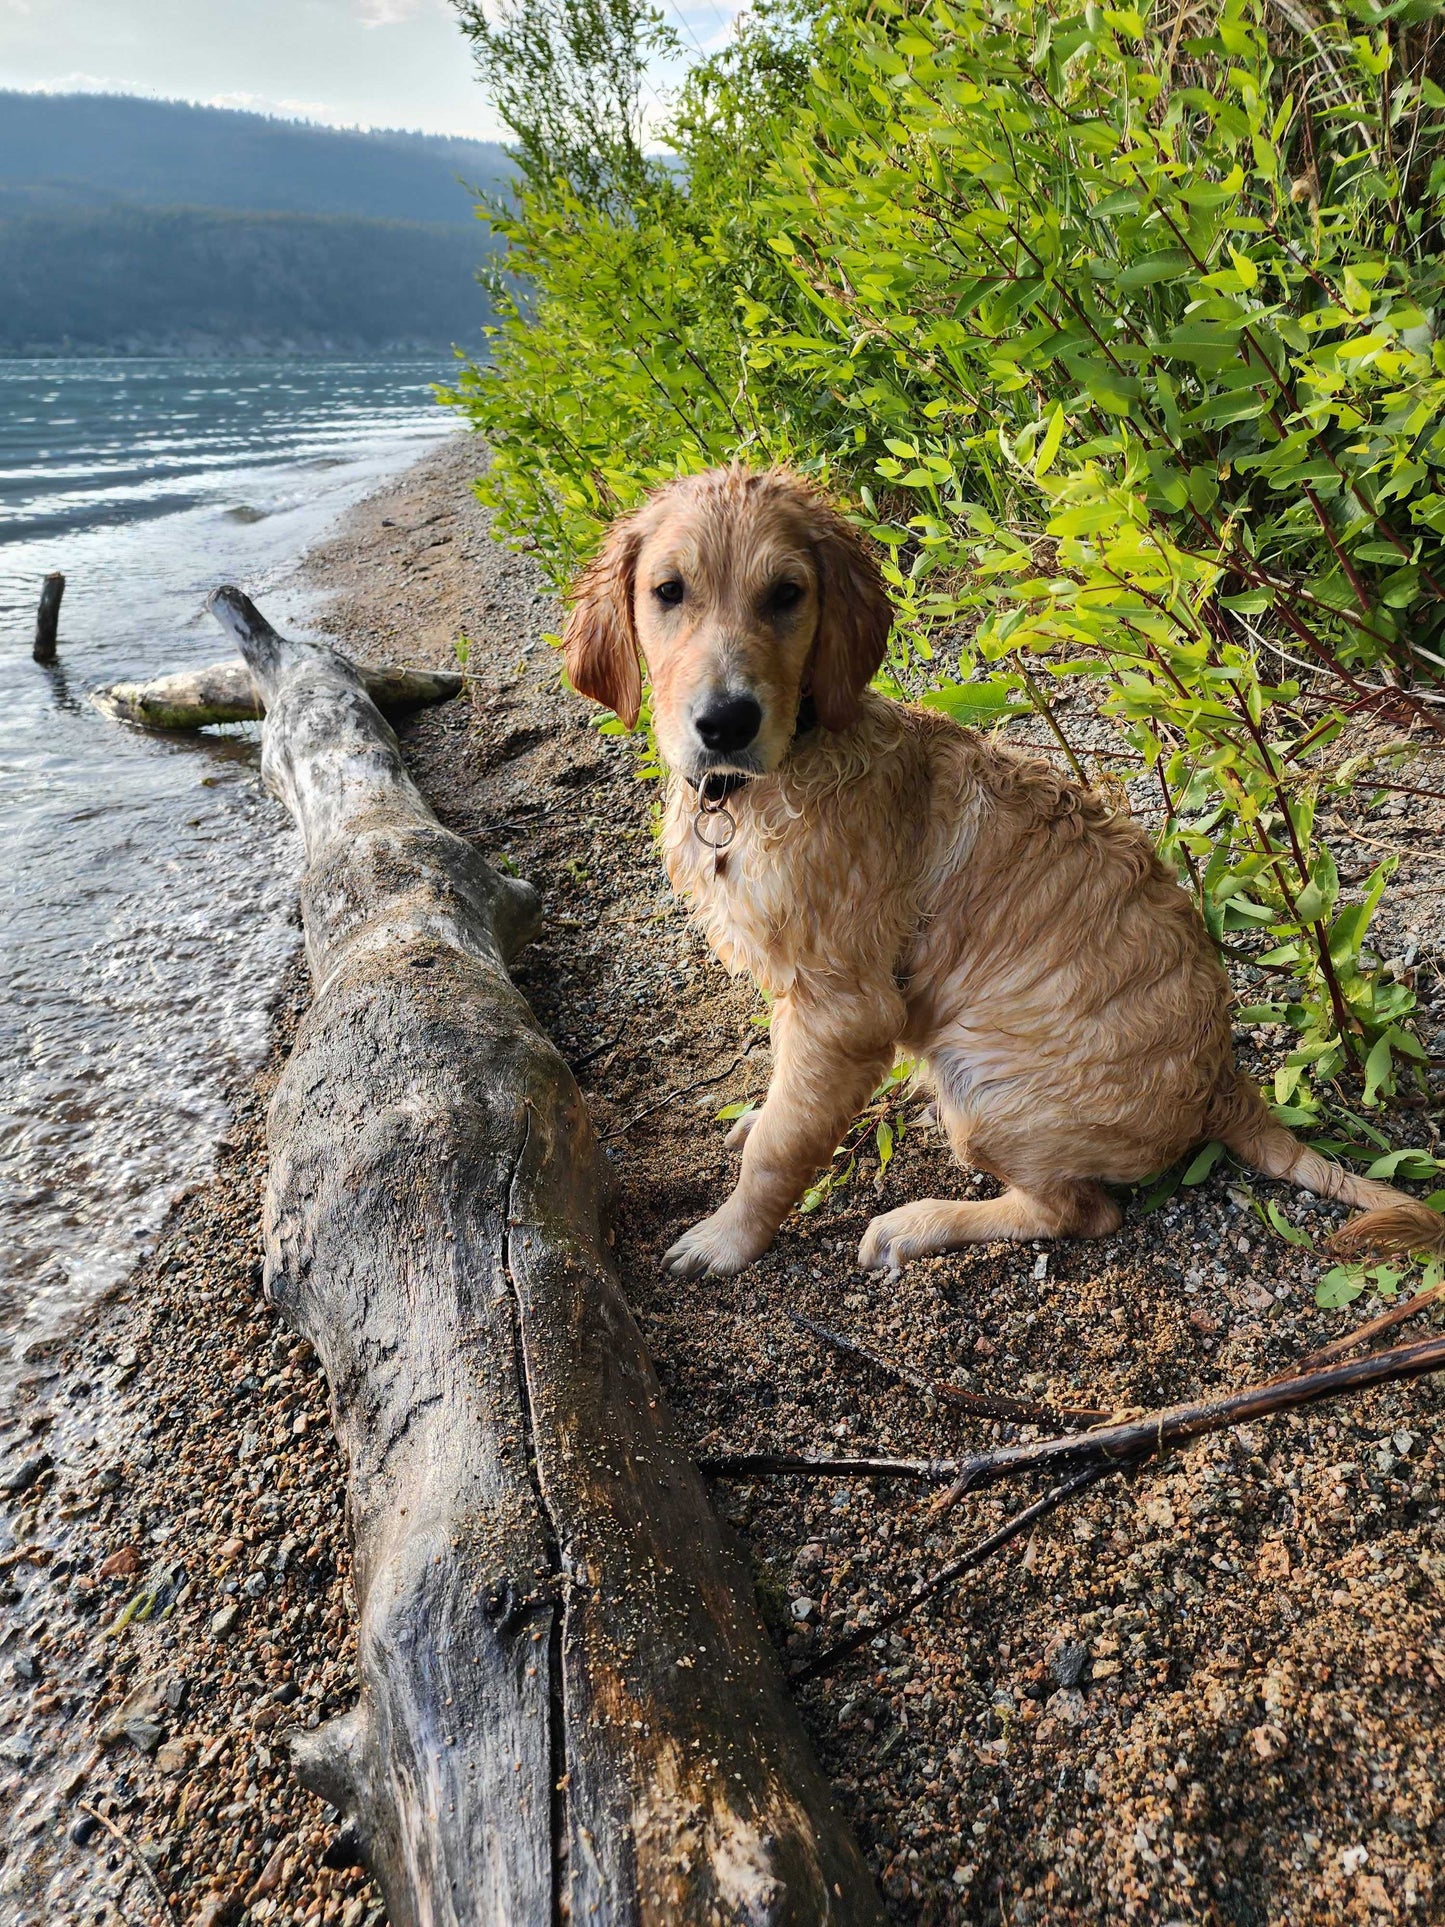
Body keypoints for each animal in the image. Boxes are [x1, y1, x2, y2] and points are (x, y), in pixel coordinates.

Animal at [558, 464, 1441, 1271]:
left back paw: (914, 1223)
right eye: (668, 591)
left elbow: (781, 1144)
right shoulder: (797, 991)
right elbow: (786, 1099)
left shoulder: (844, 1005)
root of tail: (1224, 1081)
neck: (766, 782)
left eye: (785, 595)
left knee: (1078, 1211)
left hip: (986, 1083)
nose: (726, 722)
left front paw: (728, 1236)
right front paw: (758, 1119)